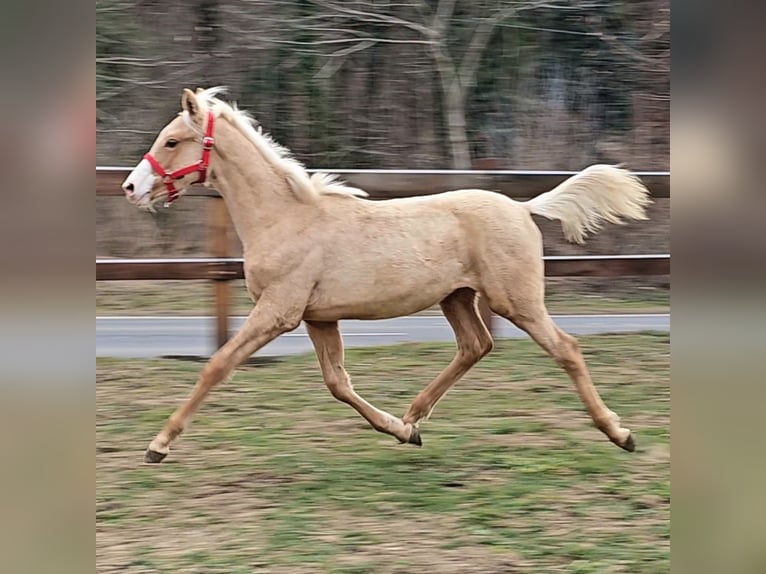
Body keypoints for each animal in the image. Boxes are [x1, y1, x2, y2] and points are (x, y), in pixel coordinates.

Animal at [123, 88, 652, 464]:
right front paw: (400, 431)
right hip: (456, 297)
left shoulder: (278, 311)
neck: (286, 218)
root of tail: (523, 207)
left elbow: (217, 365)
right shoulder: (318, 318)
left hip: (514, 300)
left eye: (172, 141)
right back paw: (415, 416)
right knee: (475, 346)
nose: (131, 188)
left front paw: (158, 444)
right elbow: (337, 383)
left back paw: (620, 433)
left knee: (565, 348)